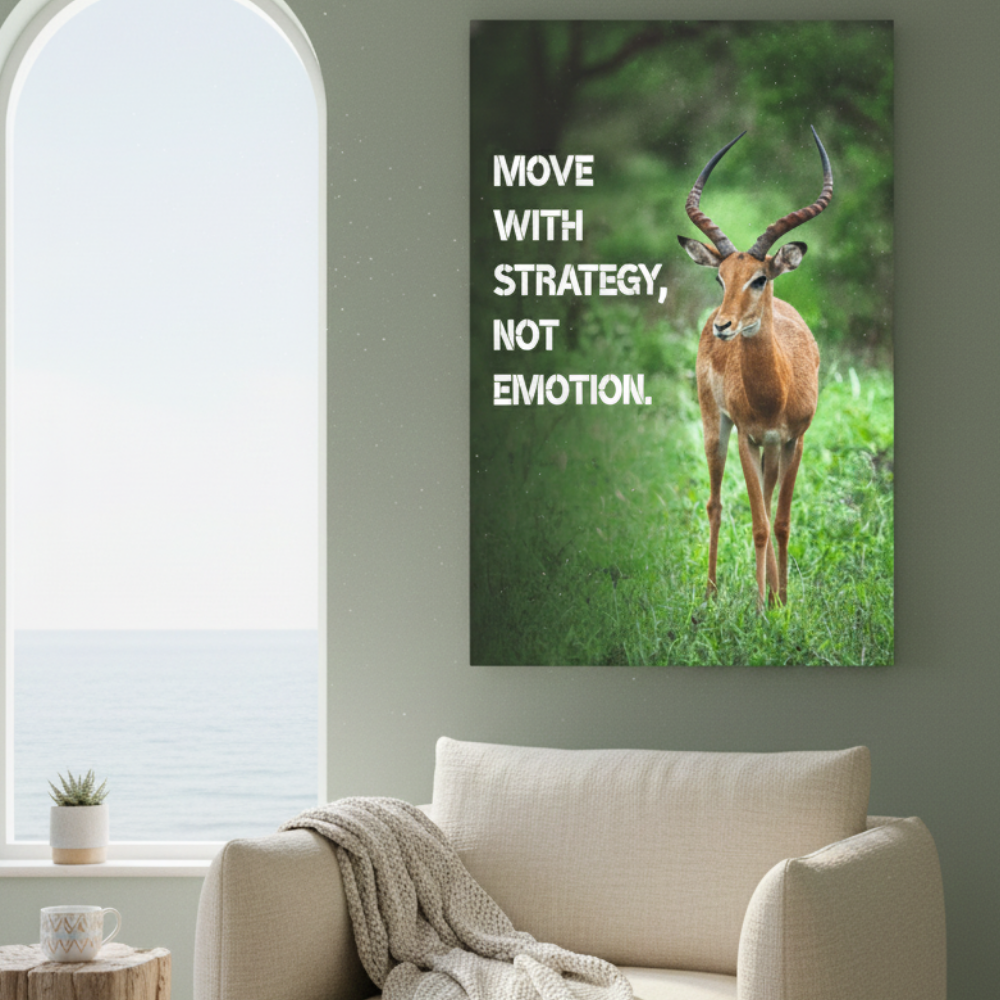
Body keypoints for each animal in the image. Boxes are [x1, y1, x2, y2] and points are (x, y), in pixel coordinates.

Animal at [676, 127, 832, 609]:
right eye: (720, 277)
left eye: (759, 278)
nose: (723, 325)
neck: (774, 392)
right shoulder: (747, 436)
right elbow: (760, 522)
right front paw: (762, 609)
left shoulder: (794, 440)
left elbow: (779, 521)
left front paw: (782, 602)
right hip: (716, 427)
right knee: (716, 503)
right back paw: (710, 593)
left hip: (771, 450)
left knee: (762, 497)